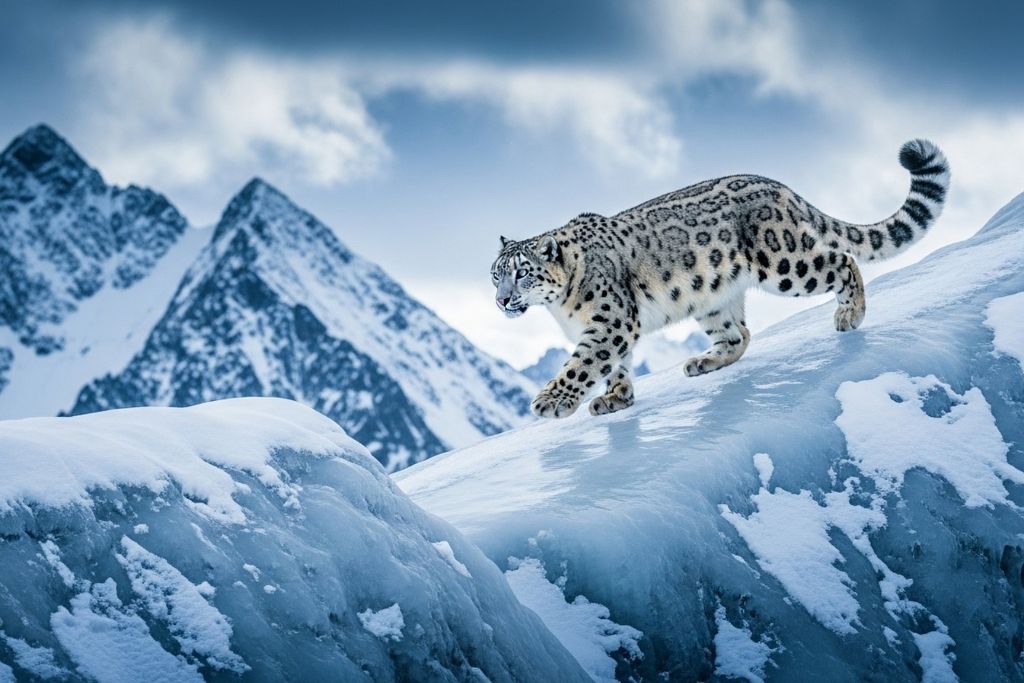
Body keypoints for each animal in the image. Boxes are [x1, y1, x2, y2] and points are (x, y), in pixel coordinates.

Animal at [490, 139, 950, 419]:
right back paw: (703, 362)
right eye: (496, 275)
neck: (562, 308)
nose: (500, 301)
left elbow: (583, 363)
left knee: (842, 260)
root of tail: (779, 186)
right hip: (712, 299)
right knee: (739, 333)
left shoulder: (610, 320)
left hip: (785, 262)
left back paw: (849, 315)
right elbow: (615, 365)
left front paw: (550, 400)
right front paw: (616, 399)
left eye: (522, 273)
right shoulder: (610, 327)